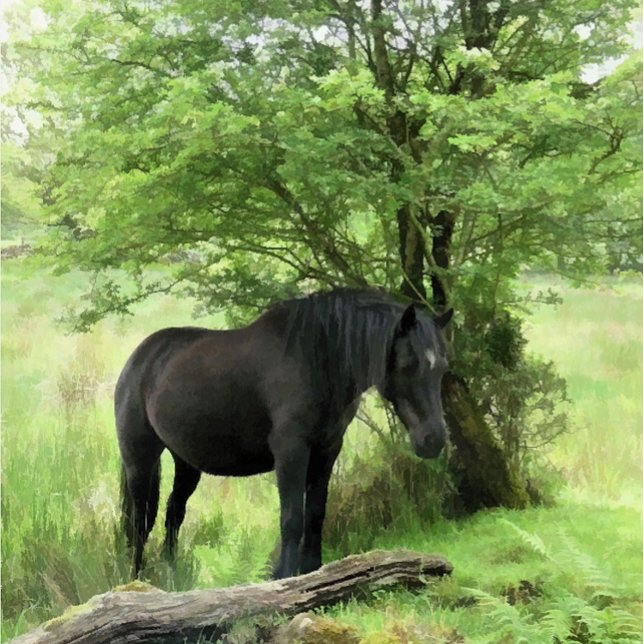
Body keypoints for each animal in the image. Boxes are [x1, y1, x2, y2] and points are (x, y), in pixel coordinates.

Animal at [115, 288, 453, 579]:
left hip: (186, 462)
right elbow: (292, 518)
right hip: (140, 459)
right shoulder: (291, 451)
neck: (317, 360)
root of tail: (139, 358)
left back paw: (172, 577)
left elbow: (315, 514)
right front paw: (284, 576)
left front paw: (313, 571)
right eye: (409, 364)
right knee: (139, 522)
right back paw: (136, 580)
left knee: (173, 514)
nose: (434, 440)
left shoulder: (327, 450)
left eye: (442, 367)